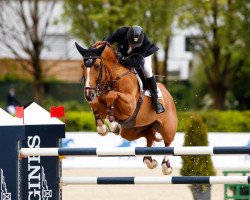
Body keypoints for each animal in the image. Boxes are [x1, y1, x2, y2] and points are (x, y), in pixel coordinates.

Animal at [74, 41, 178, 175]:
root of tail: (166, 91)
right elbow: (96, 103)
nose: (88, 95)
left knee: (168, 142)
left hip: (168, 127)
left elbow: (112, 95)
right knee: (147, 135)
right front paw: (102, 127)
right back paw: (149, 160)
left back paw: (166, 166)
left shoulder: (129, 105)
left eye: (96, 66)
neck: (113, 76)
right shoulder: (101, 103)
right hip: (131, 131)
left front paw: (112, 124)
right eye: (82, 66)